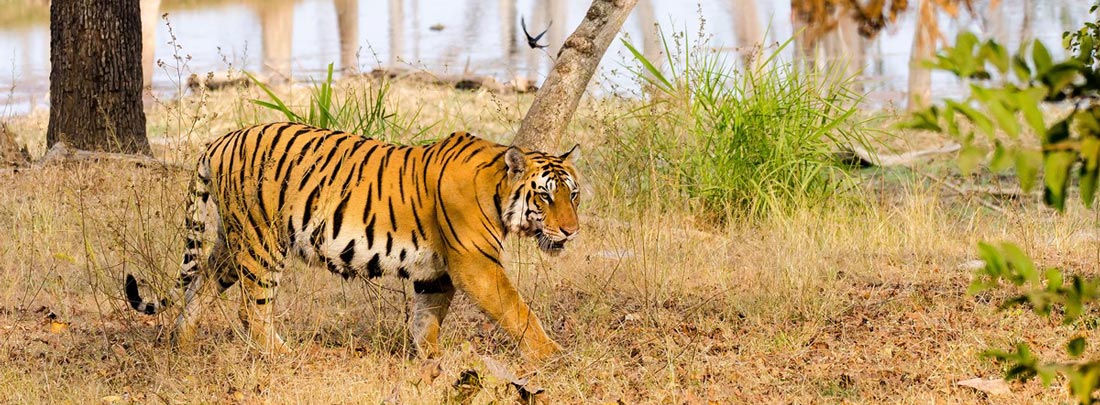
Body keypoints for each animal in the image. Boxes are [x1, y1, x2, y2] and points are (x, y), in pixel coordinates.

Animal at [124, 122, 580, 361]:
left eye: (572, 195)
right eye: (545, 196)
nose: (571, 231)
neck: (497, 190)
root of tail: (221, 139)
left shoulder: (435, 272)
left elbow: (427, 318)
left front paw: (431, 360)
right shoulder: (476, 265)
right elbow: (519, 312)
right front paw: (552, 355)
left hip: (231, 243)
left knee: (198, 286)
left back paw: (182, 346)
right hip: (260, 242)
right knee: (251, 310)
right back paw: (284, 356)